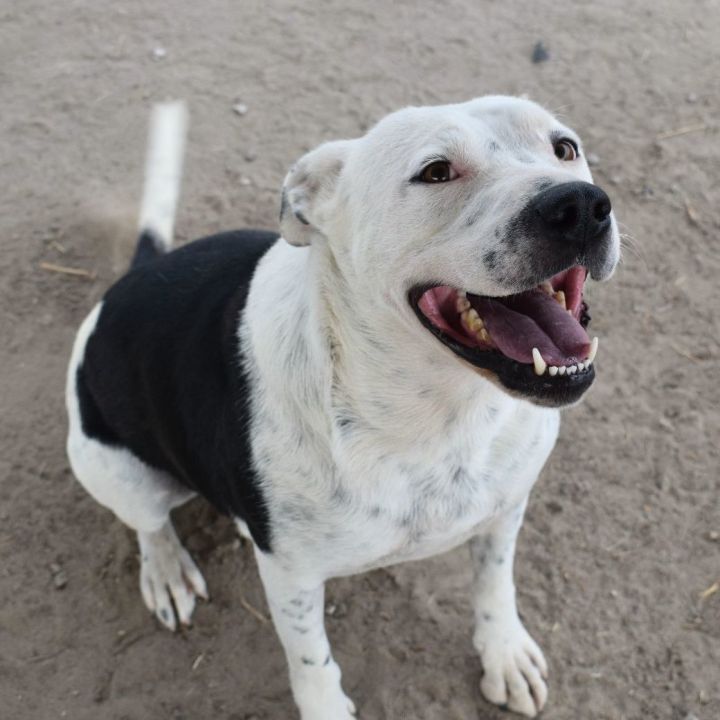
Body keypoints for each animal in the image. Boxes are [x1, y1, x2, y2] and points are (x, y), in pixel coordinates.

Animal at [66, 97, 620, 720]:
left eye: (565, 147)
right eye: (436, 171)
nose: (580, 206)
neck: (439, 417)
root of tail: (131, 277)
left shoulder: (505, 509)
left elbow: (494, 583)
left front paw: (503, 651)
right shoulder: (290, 574)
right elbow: (311, 660)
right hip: (113, 465)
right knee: (148, 522)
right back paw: (165, 570)